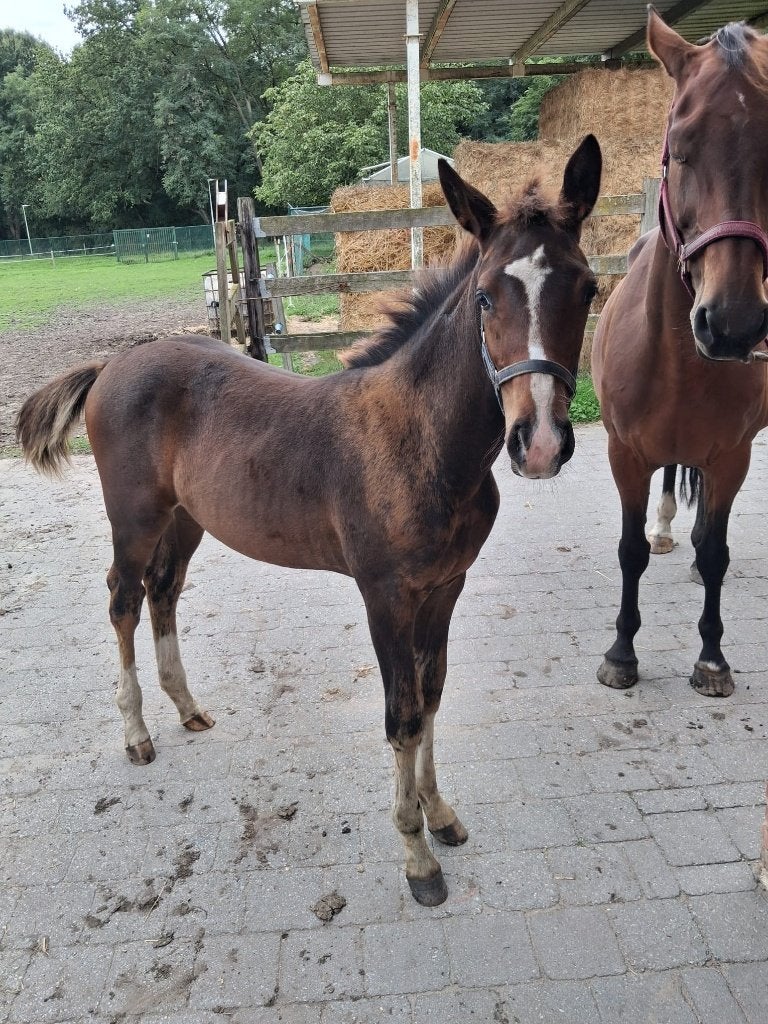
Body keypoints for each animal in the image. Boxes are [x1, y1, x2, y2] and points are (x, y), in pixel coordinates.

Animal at [17, 137, 601, 906]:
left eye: (587, 288)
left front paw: (441, 814)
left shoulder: (445, 589)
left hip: (186, 519)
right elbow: (402, 714)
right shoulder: (384, 595)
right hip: (135, 517)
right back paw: (138, 733)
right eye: (483, 295)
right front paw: (416, 854)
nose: (539, 443)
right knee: (122, 600)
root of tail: (115, 361)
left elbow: (433, 697)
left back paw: (187, 708)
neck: (423, 442)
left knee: (163, 593)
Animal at [592, 9, 768, 700]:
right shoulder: (625, 453)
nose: (732, 325)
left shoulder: (733, 457)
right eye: (681, 146)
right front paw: (621, 653)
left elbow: (715, 551)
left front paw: (712, 660)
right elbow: (629, 551)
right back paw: (668, 529)